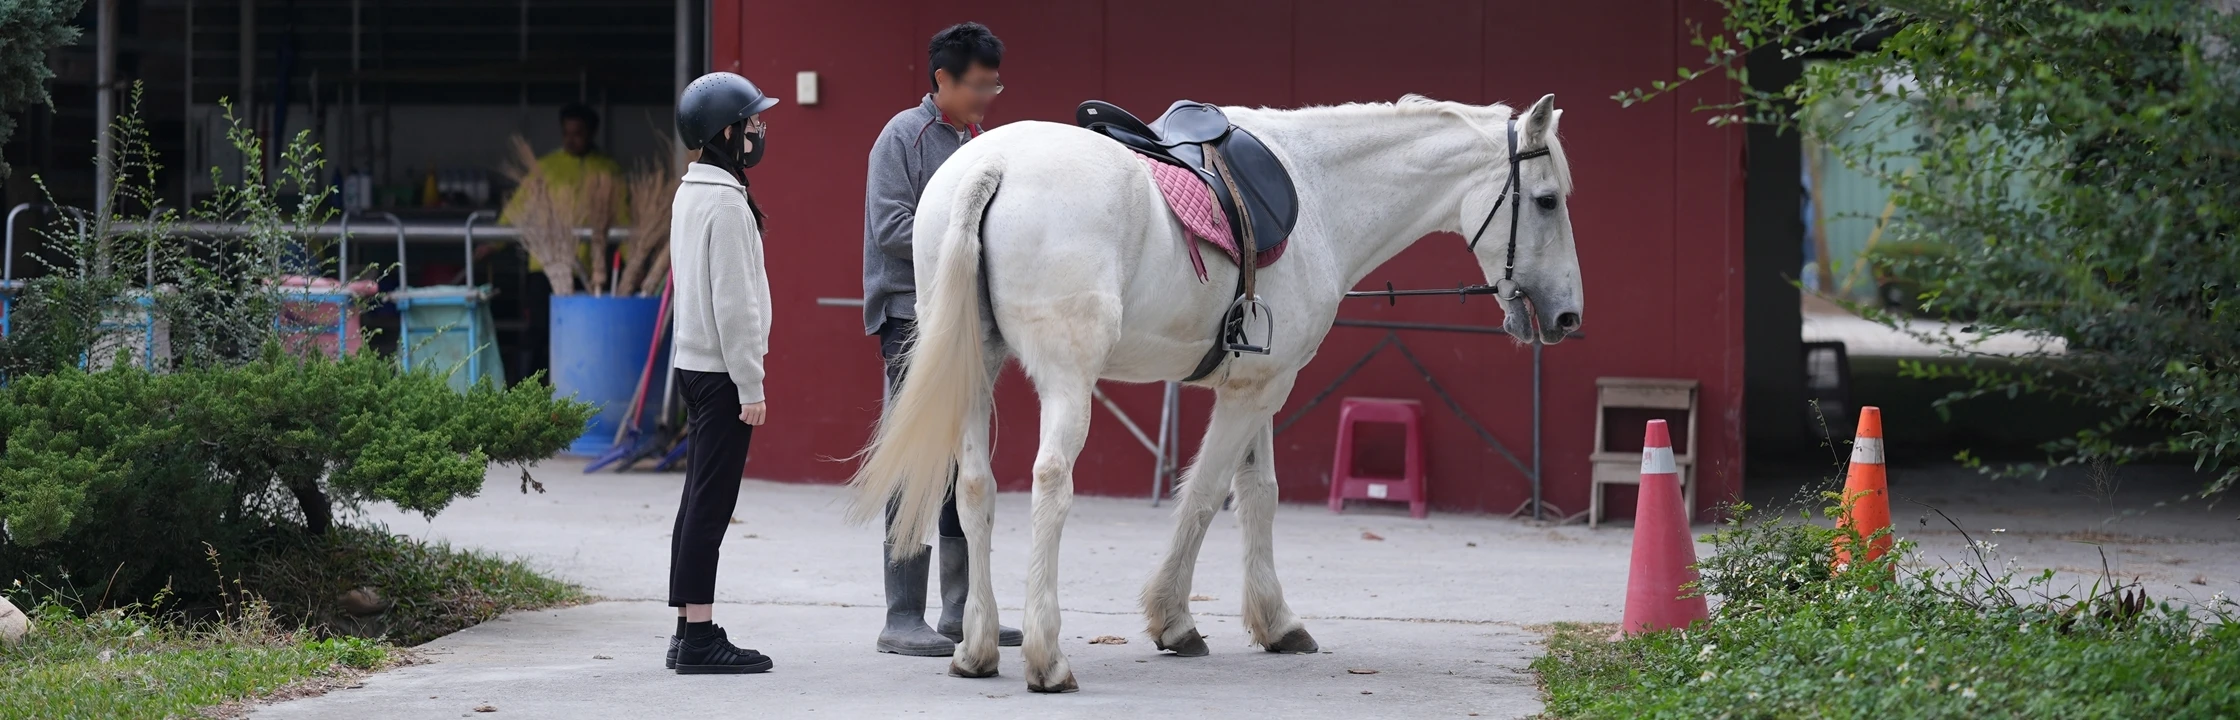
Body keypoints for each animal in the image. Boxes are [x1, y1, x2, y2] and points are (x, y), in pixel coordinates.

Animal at [847, 93, 1583, 693]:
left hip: (976, 373)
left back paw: (976, 649)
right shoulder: (1260, 390)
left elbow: (1257, 494)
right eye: (1547, 200)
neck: (1318, 189)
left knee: (973, 488)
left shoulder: (1257, 383)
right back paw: (1046, 658)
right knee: (1049, 483)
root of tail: (990, 165)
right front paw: (1174, 620)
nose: (1567, 317)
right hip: (1066, 382)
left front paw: (1275, 621)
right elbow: (1206, 495)